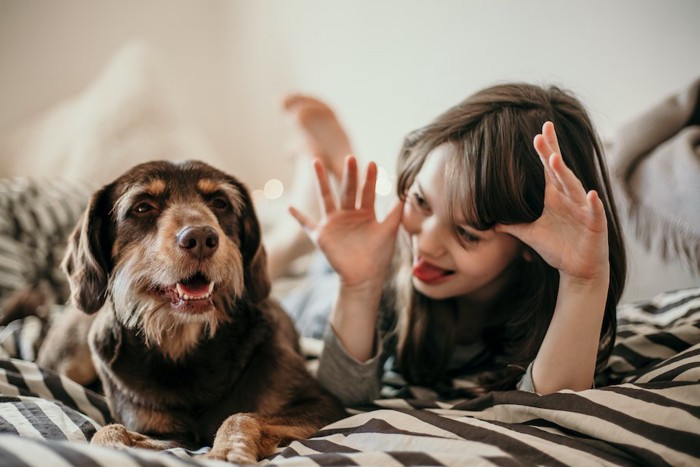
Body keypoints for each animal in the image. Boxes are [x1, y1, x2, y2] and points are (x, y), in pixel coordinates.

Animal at [43, 161, 344, 464]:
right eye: (142, 207)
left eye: (220, 203)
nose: (200, 237)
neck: (183, 340)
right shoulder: (168, 436)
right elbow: (109, 430)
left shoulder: (320, 406)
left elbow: (242, 416)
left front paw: (226, 451)